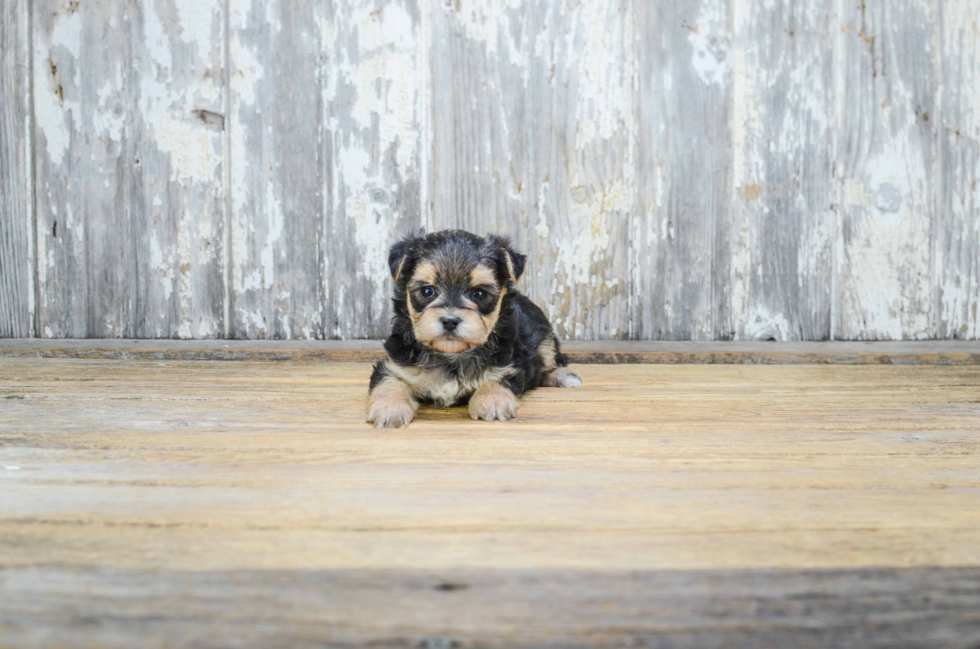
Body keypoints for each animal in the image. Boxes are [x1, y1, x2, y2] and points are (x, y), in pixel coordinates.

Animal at [368, 230, 580, 428]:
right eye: (427, 291)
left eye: (479, 293)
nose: (450, 321)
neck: (451, 355)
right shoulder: (396, 364)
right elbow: (389, 381)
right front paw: (389, 408)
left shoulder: (508, 364)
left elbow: (497, 378)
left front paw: (493, 400)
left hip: (544, 336)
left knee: (551, 359)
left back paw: (562, 376)